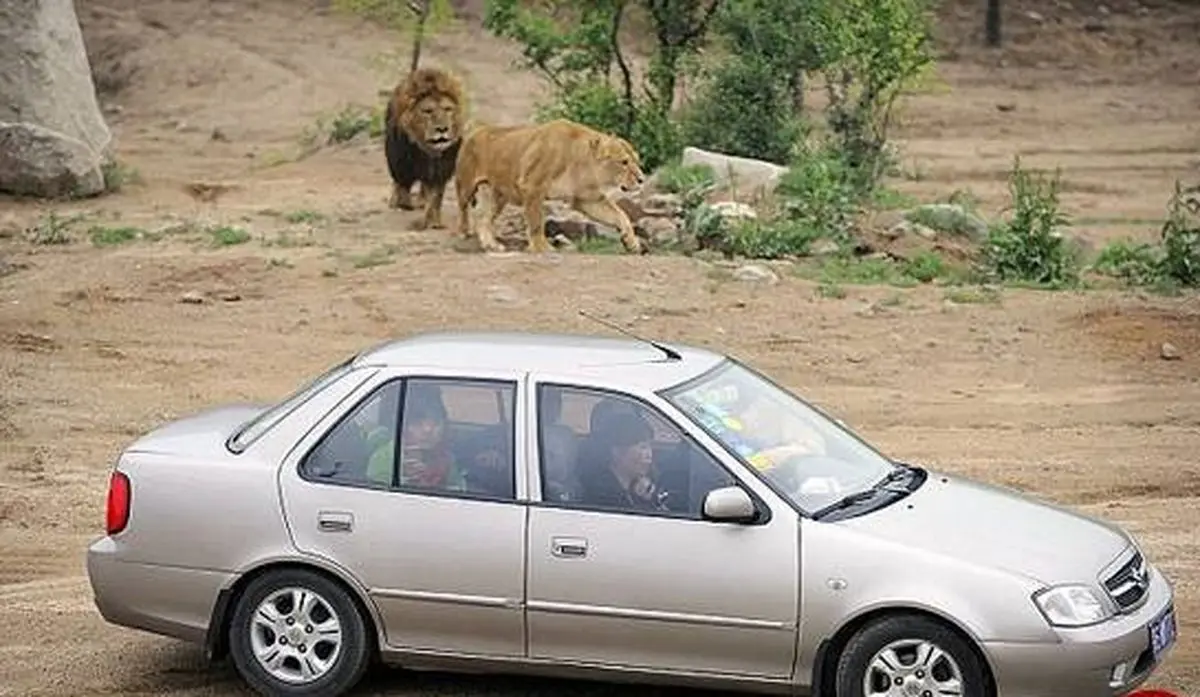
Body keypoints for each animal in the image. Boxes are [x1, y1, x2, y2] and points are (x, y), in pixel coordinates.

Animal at [381, 65, 465, 229]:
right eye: (428, 111)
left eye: (448, 109)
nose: (442, 129)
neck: (430, 153)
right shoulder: (402, 165)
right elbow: (403, 187)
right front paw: (404, 204)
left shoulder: (441, 170)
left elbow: (436, 197)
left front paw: (434, 222)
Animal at [453, 118, 648, 254]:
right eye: (624, 162)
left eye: (636, 160)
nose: (641, 179)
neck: (581, 160)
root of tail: (477, 128)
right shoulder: (532, 186)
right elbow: (536, 222)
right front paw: (541, 248)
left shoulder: (587, 200)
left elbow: (620, 215)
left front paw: (631, 242)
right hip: (466, 184)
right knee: (463, 210)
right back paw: (463, 233)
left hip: (498, 195)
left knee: (483, 219)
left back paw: (491, 245)